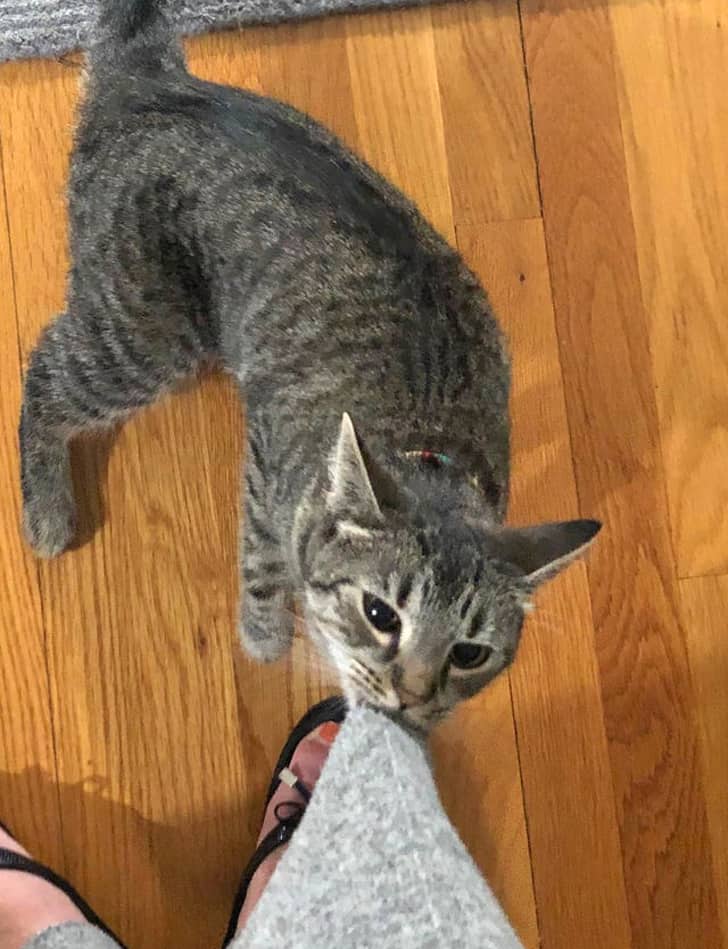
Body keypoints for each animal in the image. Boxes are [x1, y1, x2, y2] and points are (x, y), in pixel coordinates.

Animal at [19, 0, 600, 731]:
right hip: (143, 337)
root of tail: (149, 77)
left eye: (469, 653)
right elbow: (263, 557)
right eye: (380, 614)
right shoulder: (267, 459)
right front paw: (265, 634)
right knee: (41, 372)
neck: (433, 453)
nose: (413, 696)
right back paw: (46, 512)